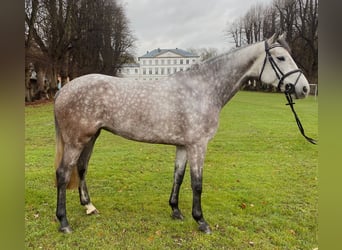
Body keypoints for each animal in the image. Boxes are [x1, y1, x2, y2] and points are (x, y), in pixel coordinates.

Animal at [53, 32, 310, 233]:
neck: (203, 89)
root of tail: (64, 89)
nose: (305, 88)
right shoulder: (198, 145)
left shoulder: (184, 146)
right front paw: (201, 221)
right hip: (76, 141)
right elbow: (197, 183)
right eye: (281, 57)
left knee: (82, 168)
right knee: (63, 174)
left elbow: (178, 176)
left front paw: (176, 210)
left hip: (90, 137)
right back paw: (64, 222)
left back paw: (89, 206)